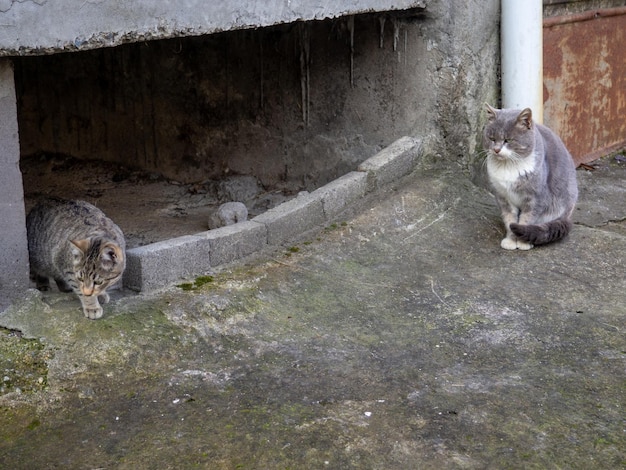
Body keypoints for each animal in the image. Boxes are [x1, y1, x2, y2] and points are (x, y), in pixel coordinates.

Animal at [482, 103, 576, 250]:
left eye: (508, 140)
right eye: (491, 139)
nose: (496, 150)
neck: (508, 167)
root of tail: (567, 217)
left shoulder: (535, 198)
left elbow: (526, 220)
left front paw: (522, 242)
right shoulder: (503, 197)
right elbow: (509, 220)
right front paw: (510, 240)